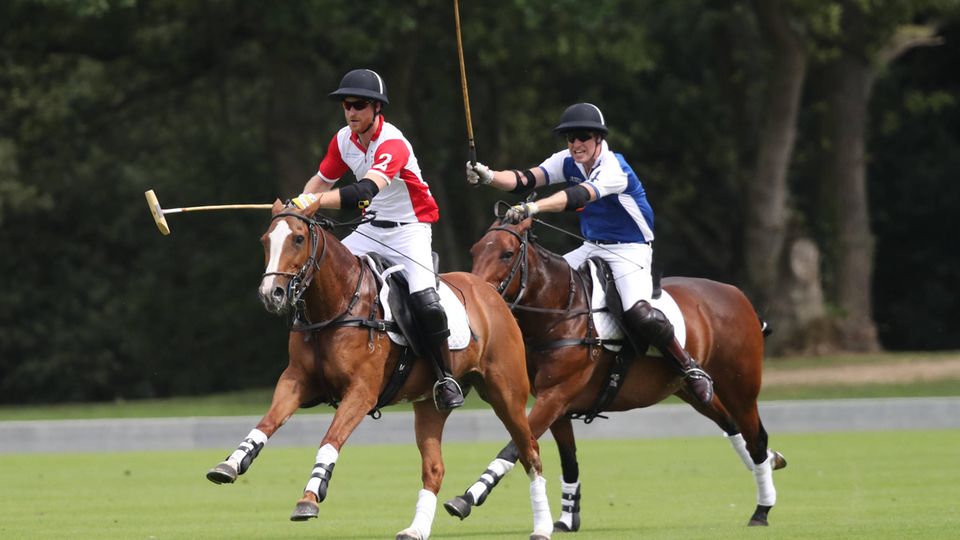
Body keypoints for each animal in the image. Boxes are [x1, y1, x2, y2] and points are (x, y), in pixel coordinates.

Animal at [208, 201, 556, 540]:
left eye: (298, 238)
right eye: (265, 240)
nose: (272, 293)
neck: (336, 306)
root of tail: (490, 292)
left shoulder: (362, 392)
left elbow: (330, 438)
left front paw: (309, 497)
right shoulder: (296, 380)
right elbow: (267, 422)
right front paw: (231, 464)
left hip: (506, 392)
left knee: (531, 453)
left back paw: (542, 528)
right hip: (429, 405)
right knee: (434, 468)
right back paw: (415, 530)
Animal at [444, 217, 788, 528]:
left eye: (506, 253)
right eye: (475, 250)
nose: (476, 295)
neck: (561, 312)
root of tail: (738, 295)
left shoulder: (556, 395)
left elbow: (515, 446)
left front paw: (467, 497)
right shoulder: (556, 404)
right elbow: (568, 460)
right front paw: (567, 518)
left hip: (741, 386)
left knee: (756, 436)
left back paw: (762, 509)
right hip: (689, 390)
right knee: (732, 425)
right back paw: (772, 461)